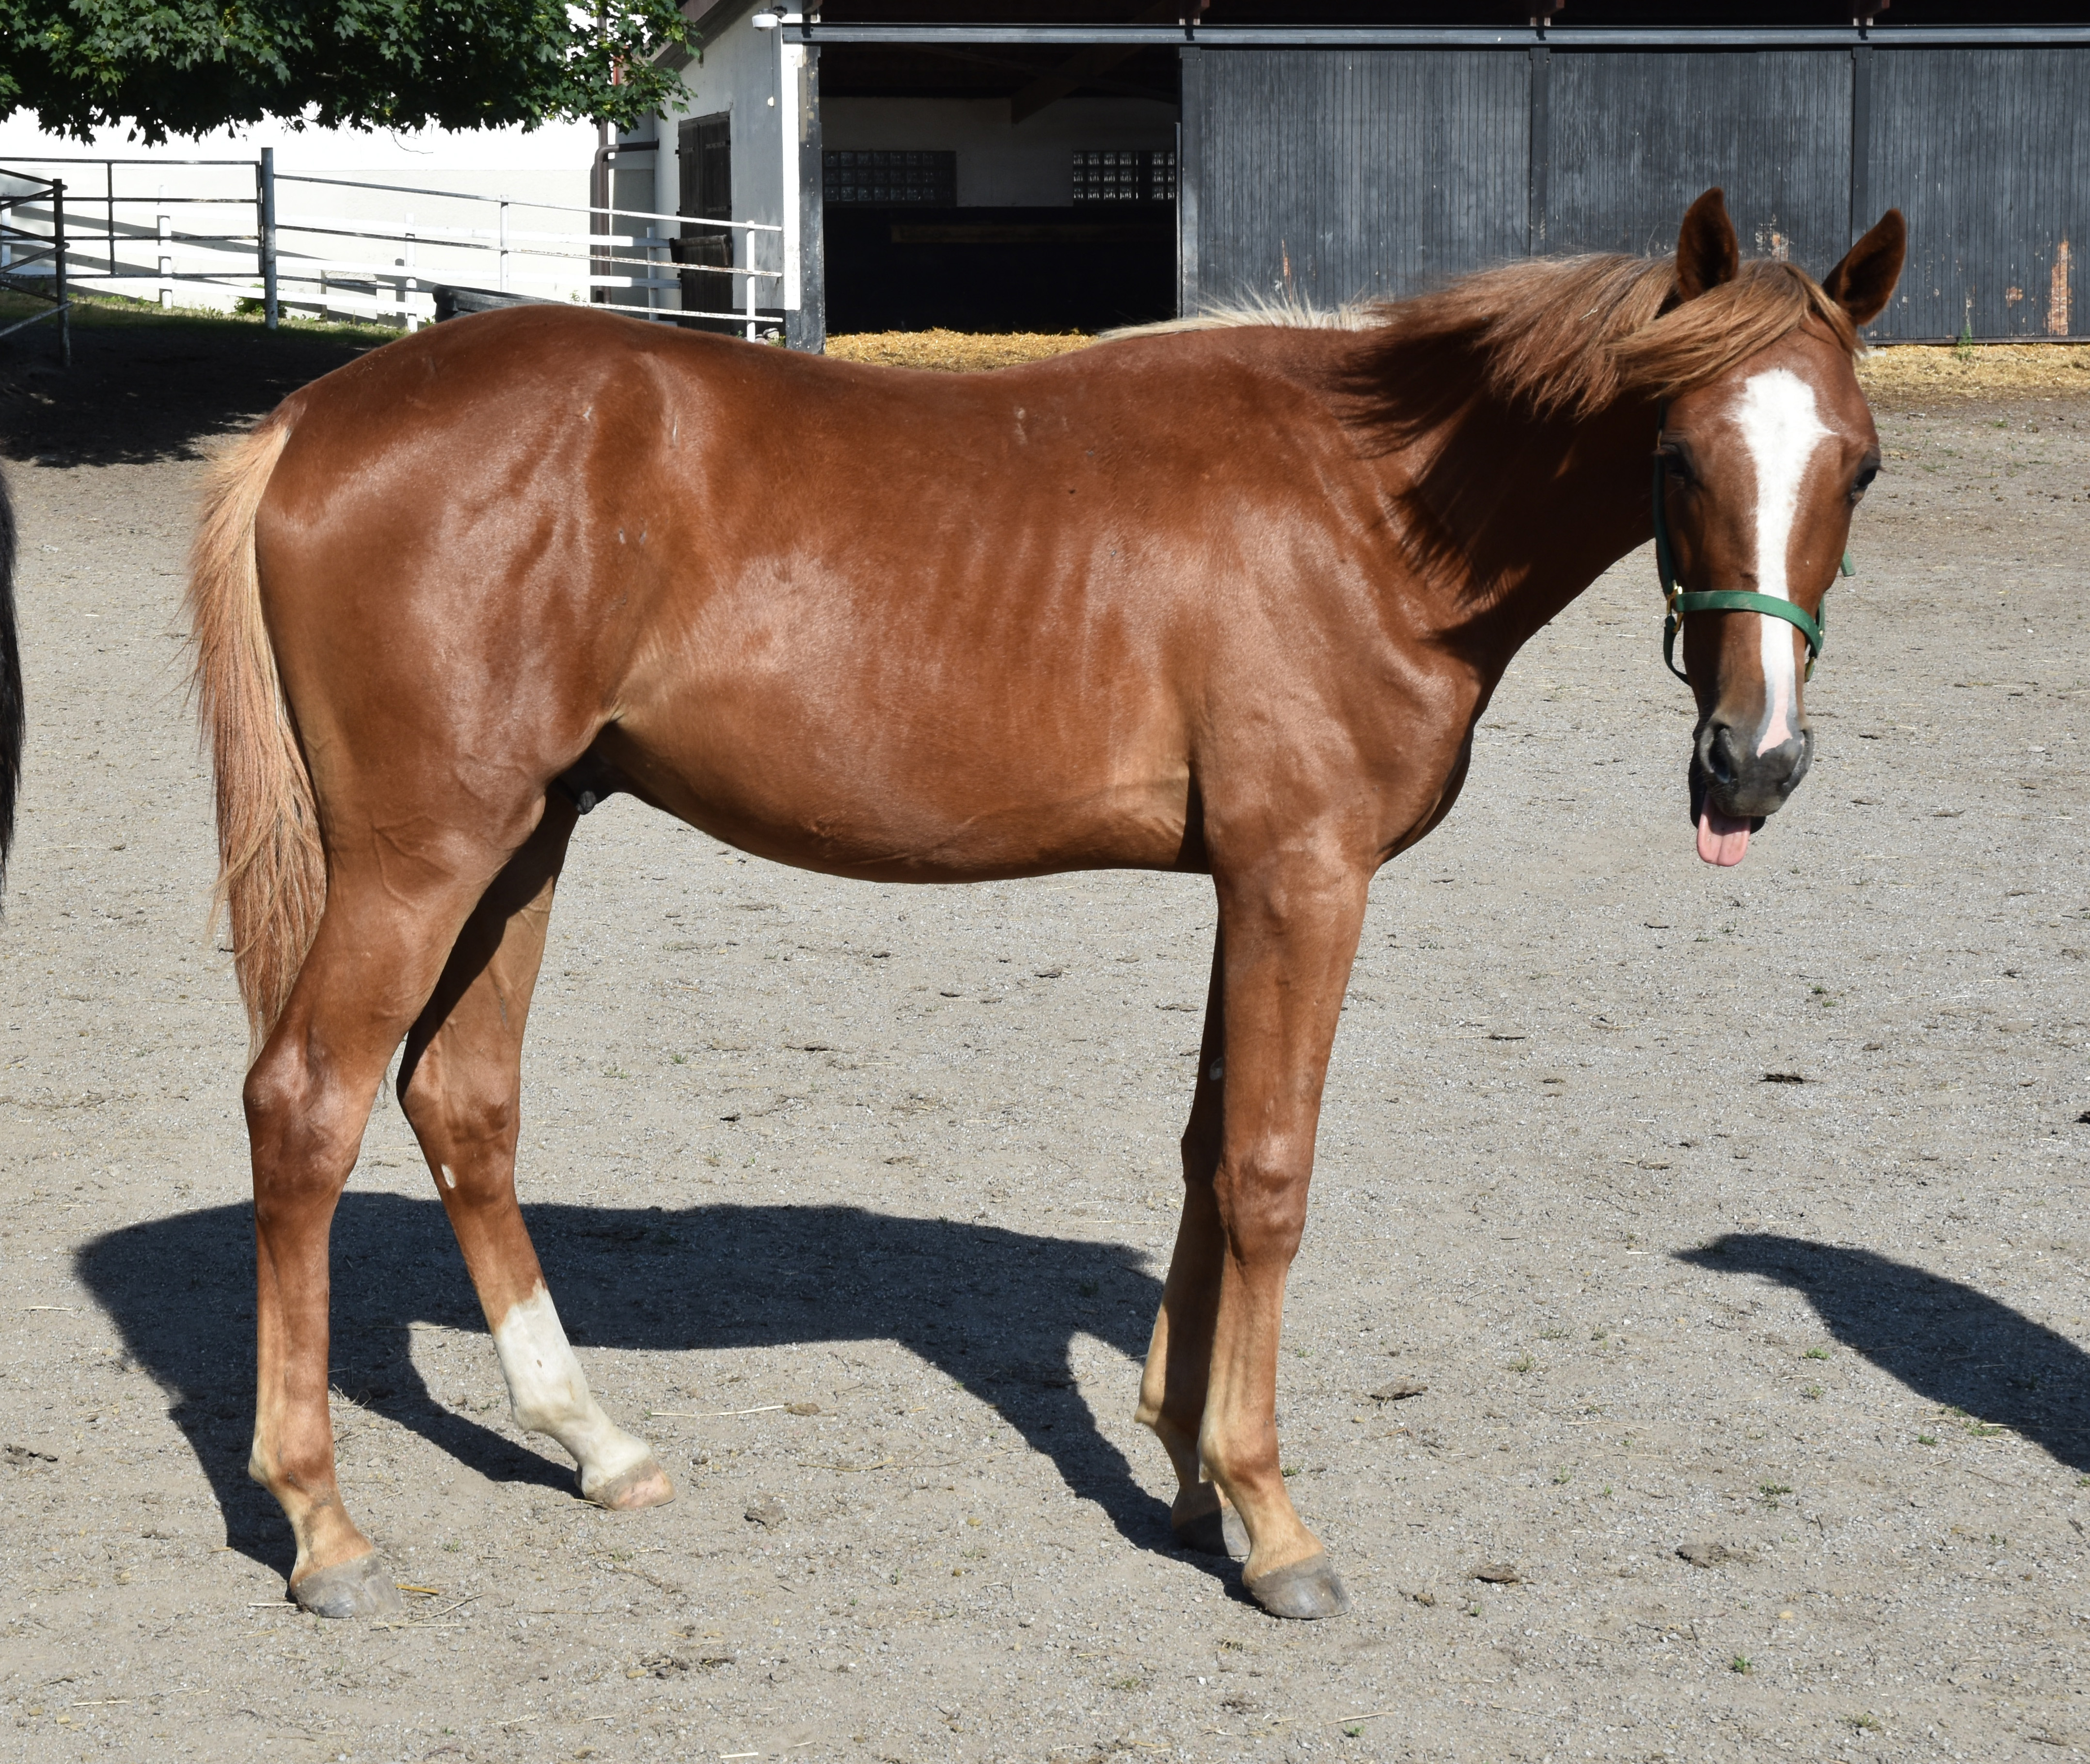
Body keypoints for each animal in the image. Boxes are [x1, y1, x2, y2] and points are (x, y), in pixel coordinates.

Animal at [188, 193, 1906, 1630]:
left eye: (1862, 463)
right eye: (1677, 455)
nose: (1755, 763)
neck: (1366, 507)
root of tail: (318, 416)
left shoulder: (1249, 883)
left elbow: (1210, 1150)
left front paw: (1190, 1470)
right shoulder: (1305, 876)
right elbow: (1270, 1173)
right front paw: (1274, 1523)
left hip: (526, 840)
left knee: (462, 1100)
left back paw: (593, 1441)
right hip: (426, 854)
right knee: (306, 1105)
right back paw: (322, 1525)